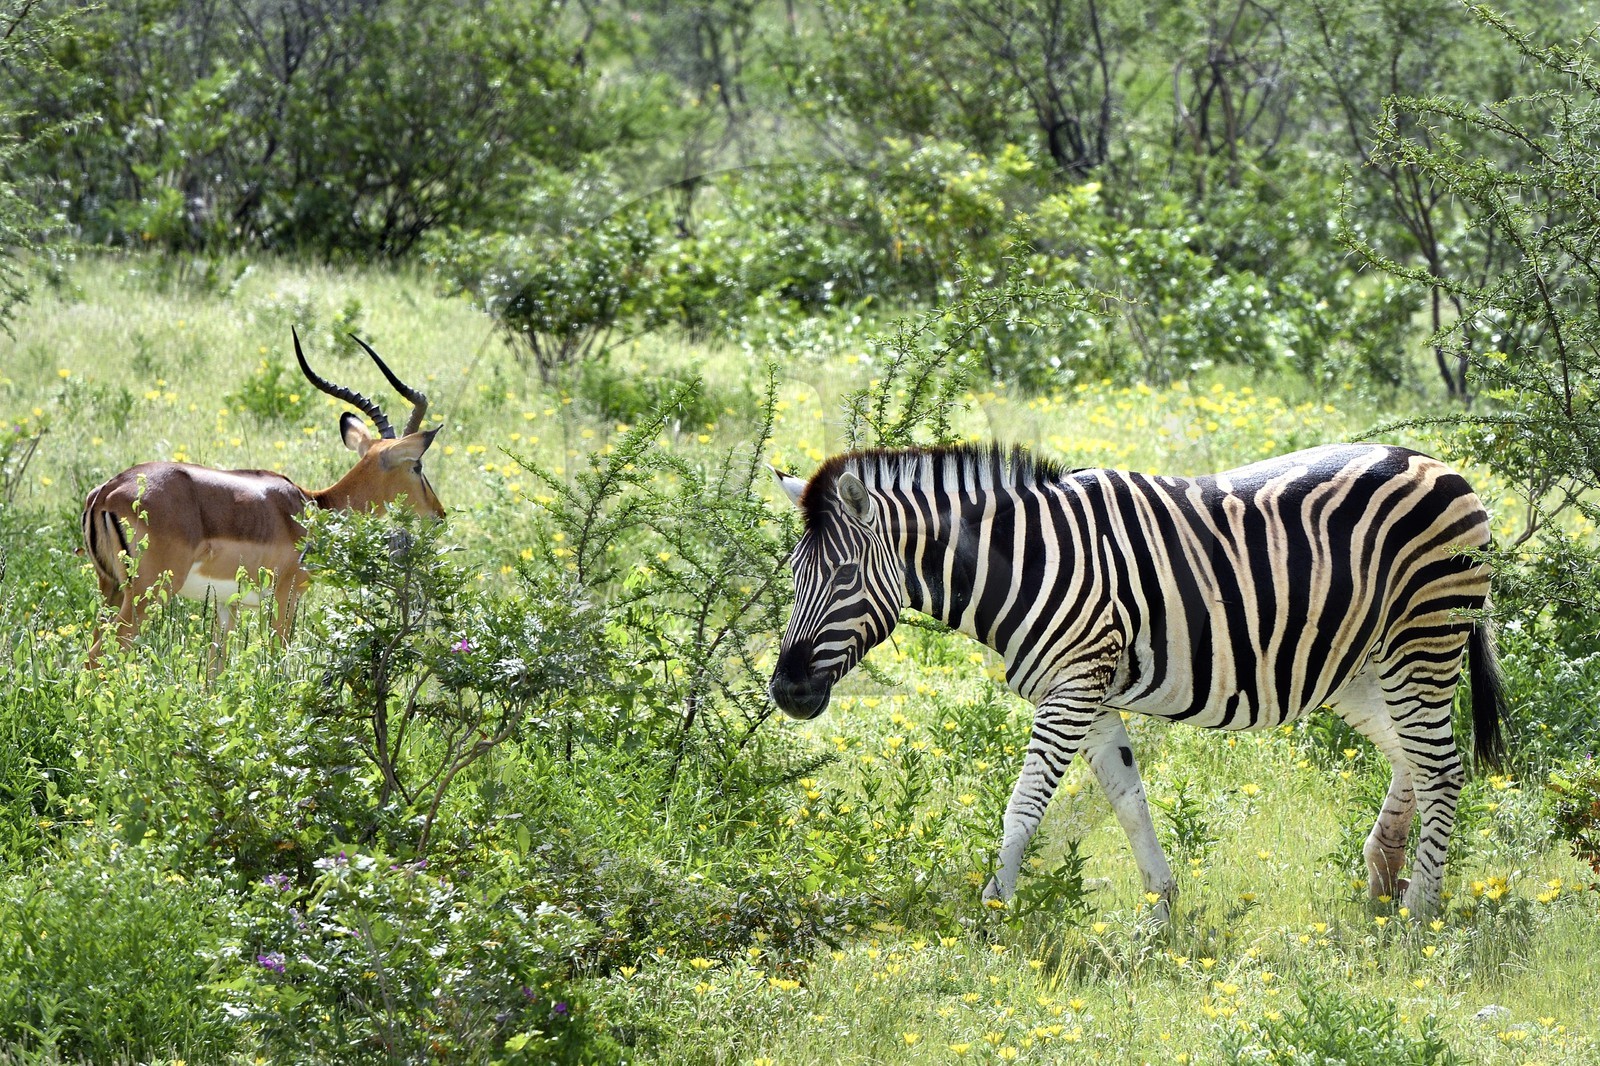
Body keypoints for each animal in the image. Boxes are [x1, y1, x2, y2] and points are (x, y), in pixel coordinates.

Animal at [82, 329, 443, 665]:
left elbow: (216, 671)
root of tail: (107, 492)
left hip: (110, 589)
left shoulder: (226, 605)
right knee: (97, 657)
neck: (314, 507)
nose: (439, 514)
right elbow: (278, 658)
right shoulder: (284, 597)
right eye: (417, 466)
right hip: (148, 593)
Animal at [768, 443, 1505, 917]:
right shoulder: (1087, 691)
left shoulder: (1073, 686)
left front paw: (994, 913)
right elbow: (1129, 800)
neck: (1026, 561)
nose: (786, 692)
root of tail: (1441, 464)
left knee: (1441, 767)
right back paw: (1384, 879)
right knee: (1411, 756)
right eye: (795, 577)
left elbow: (1025, 803)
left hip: (1424, 638)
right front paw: (1160, 911)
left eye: (844, 577)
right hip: (1362, 666)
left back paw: (1420, 917)